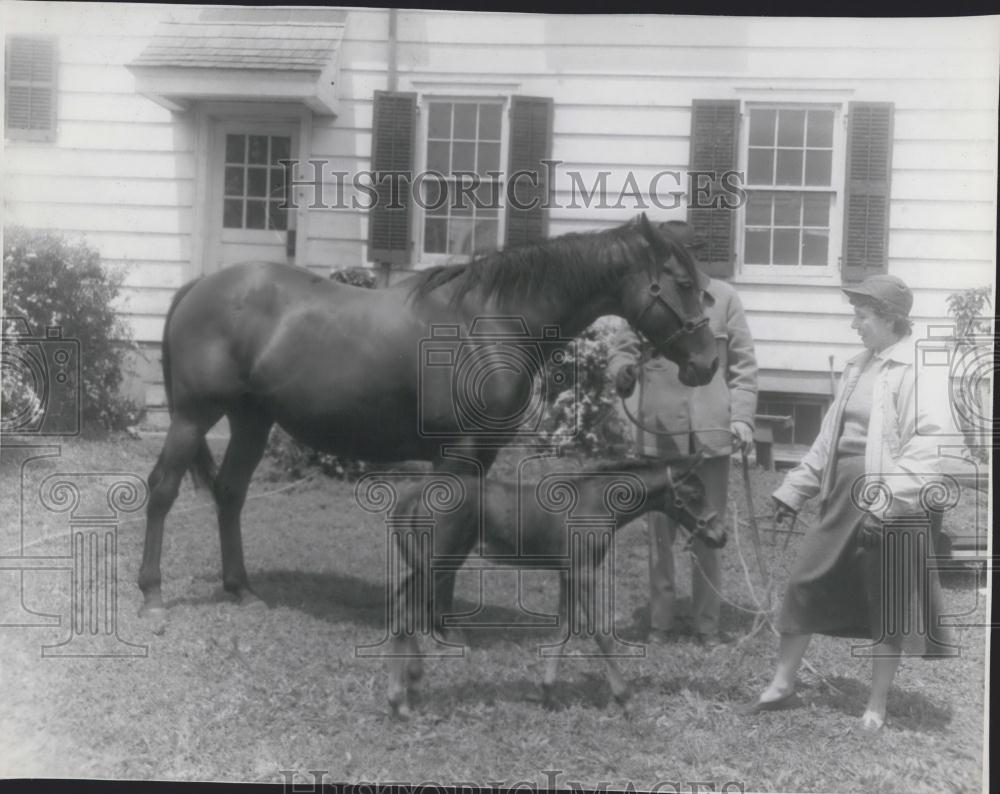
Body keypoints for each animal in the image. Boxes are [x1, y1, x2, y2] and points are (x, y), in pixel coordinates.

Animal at [141, 212, 720, 620]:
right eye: (681, 283)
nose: (708, 362)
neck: (491, 323)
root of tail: (201, 286)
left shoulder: (480, 457)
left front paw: (438, 614)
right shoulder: (458, 454)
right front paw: (434, 620)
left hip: (252, 420)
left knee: (230, 493)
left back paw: (240, 588)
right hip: (192, 416)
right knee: (163, 488)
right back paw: (152, 592)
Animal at [384, 452, 728, 716]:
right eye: (694, 494)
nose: (720, 535)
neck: (597, 504)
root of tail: (416, 493)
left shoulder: (568, 572)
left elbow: (564, 628)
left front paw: (548, 693)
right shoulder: (584, 571)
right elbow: (600, 633)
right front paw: (626, 699)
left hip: (429, 564)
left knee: (402, 603)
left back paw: (412, 681)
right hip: (439, 563)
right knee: (405, 612)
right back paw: (399, 701)